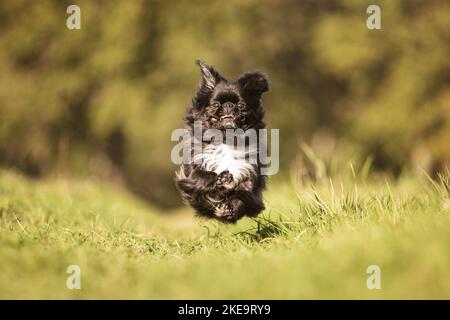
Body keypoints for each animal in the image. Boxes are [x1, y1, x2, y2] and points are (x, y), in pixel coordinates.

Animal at [174, 61, 268, 224]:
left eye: (241, 105)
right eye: (216, 105)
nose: (228, 105)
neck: (226, 138)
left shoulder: (250, 174)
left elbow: (244, 194)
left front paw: (231, 208)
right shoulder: (192, 171)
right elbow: (200, 177)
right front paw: (220, 178)